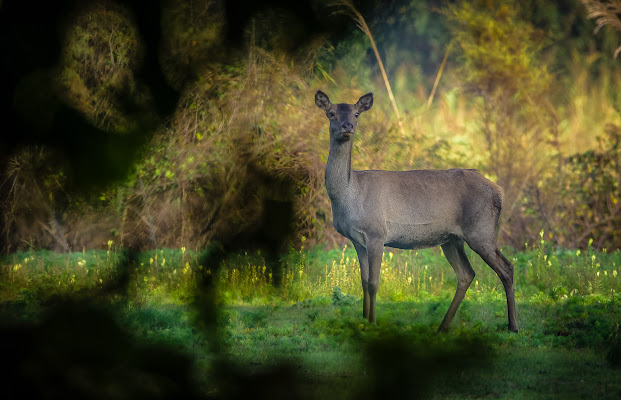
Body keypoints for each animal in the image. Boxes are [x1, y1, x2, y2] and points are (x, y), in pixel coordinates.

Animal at [314, 90, 520, 332]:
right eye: (331, 113)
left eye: (356, 113)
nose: (347, 126)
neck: (349, 196)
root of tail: (499, 191)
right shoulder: (357, 240)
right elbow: (363, 282)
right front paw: (363, 321)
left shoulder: (376, 234)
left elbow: (374, 283)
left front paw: (372, 323)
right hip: (451, 239)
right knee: (466, 274)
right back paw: (442, 327)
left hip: (481, 230)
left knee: (507, 268)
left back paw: (513, 326)